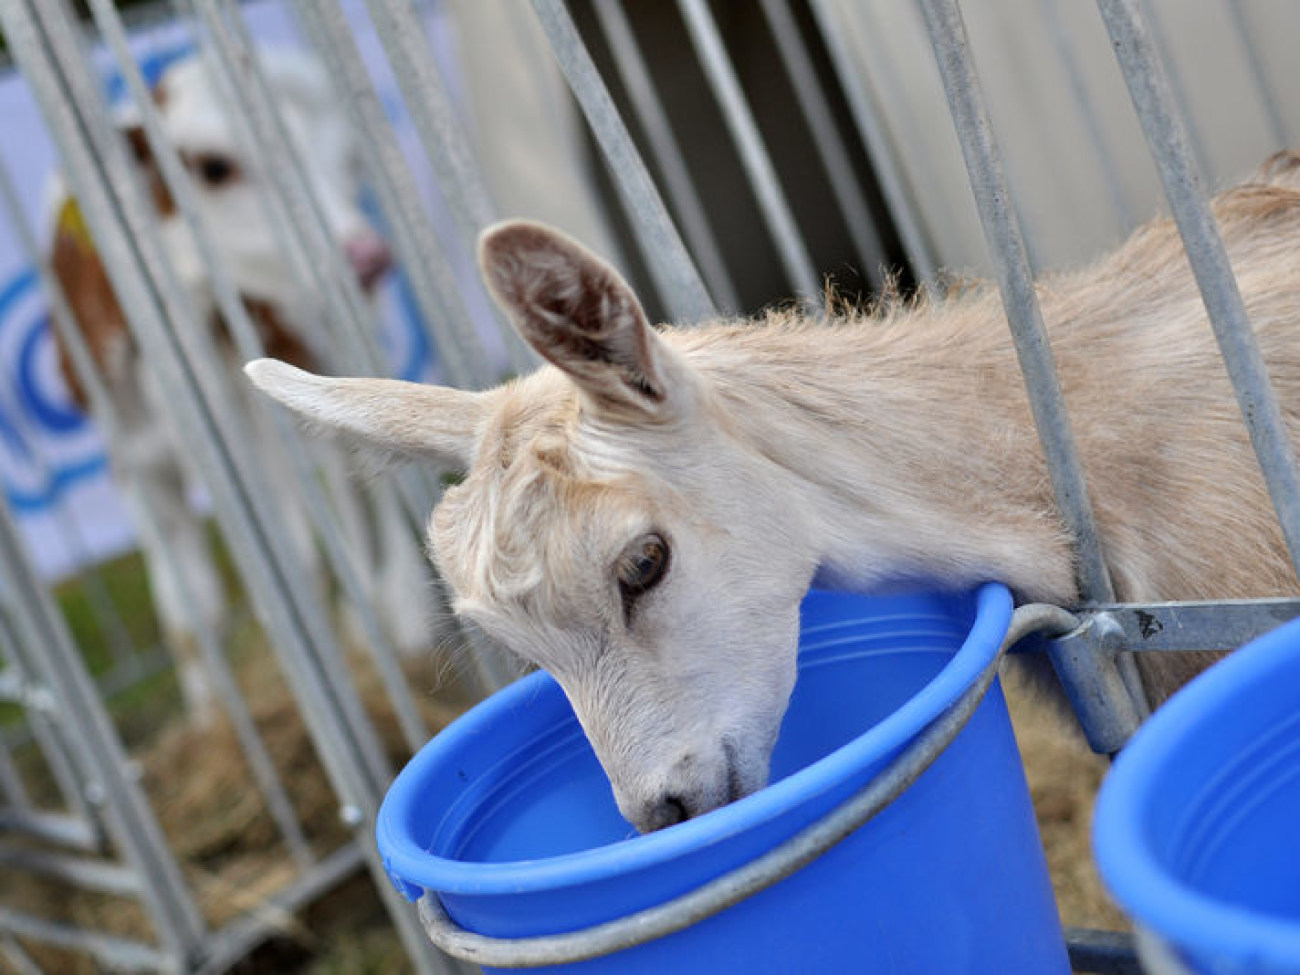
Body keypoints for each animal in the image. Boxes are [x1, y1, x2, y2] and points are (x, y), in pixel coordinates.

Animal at [49, 49, 431, 728]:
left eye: (350, 164)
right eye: (213, 166)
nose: (366, 256)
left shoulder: (256, 439)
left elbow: (298, 564)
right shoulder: (132, 456)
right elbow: (189, 610)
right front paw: (210, 719)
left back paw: (396, 626)